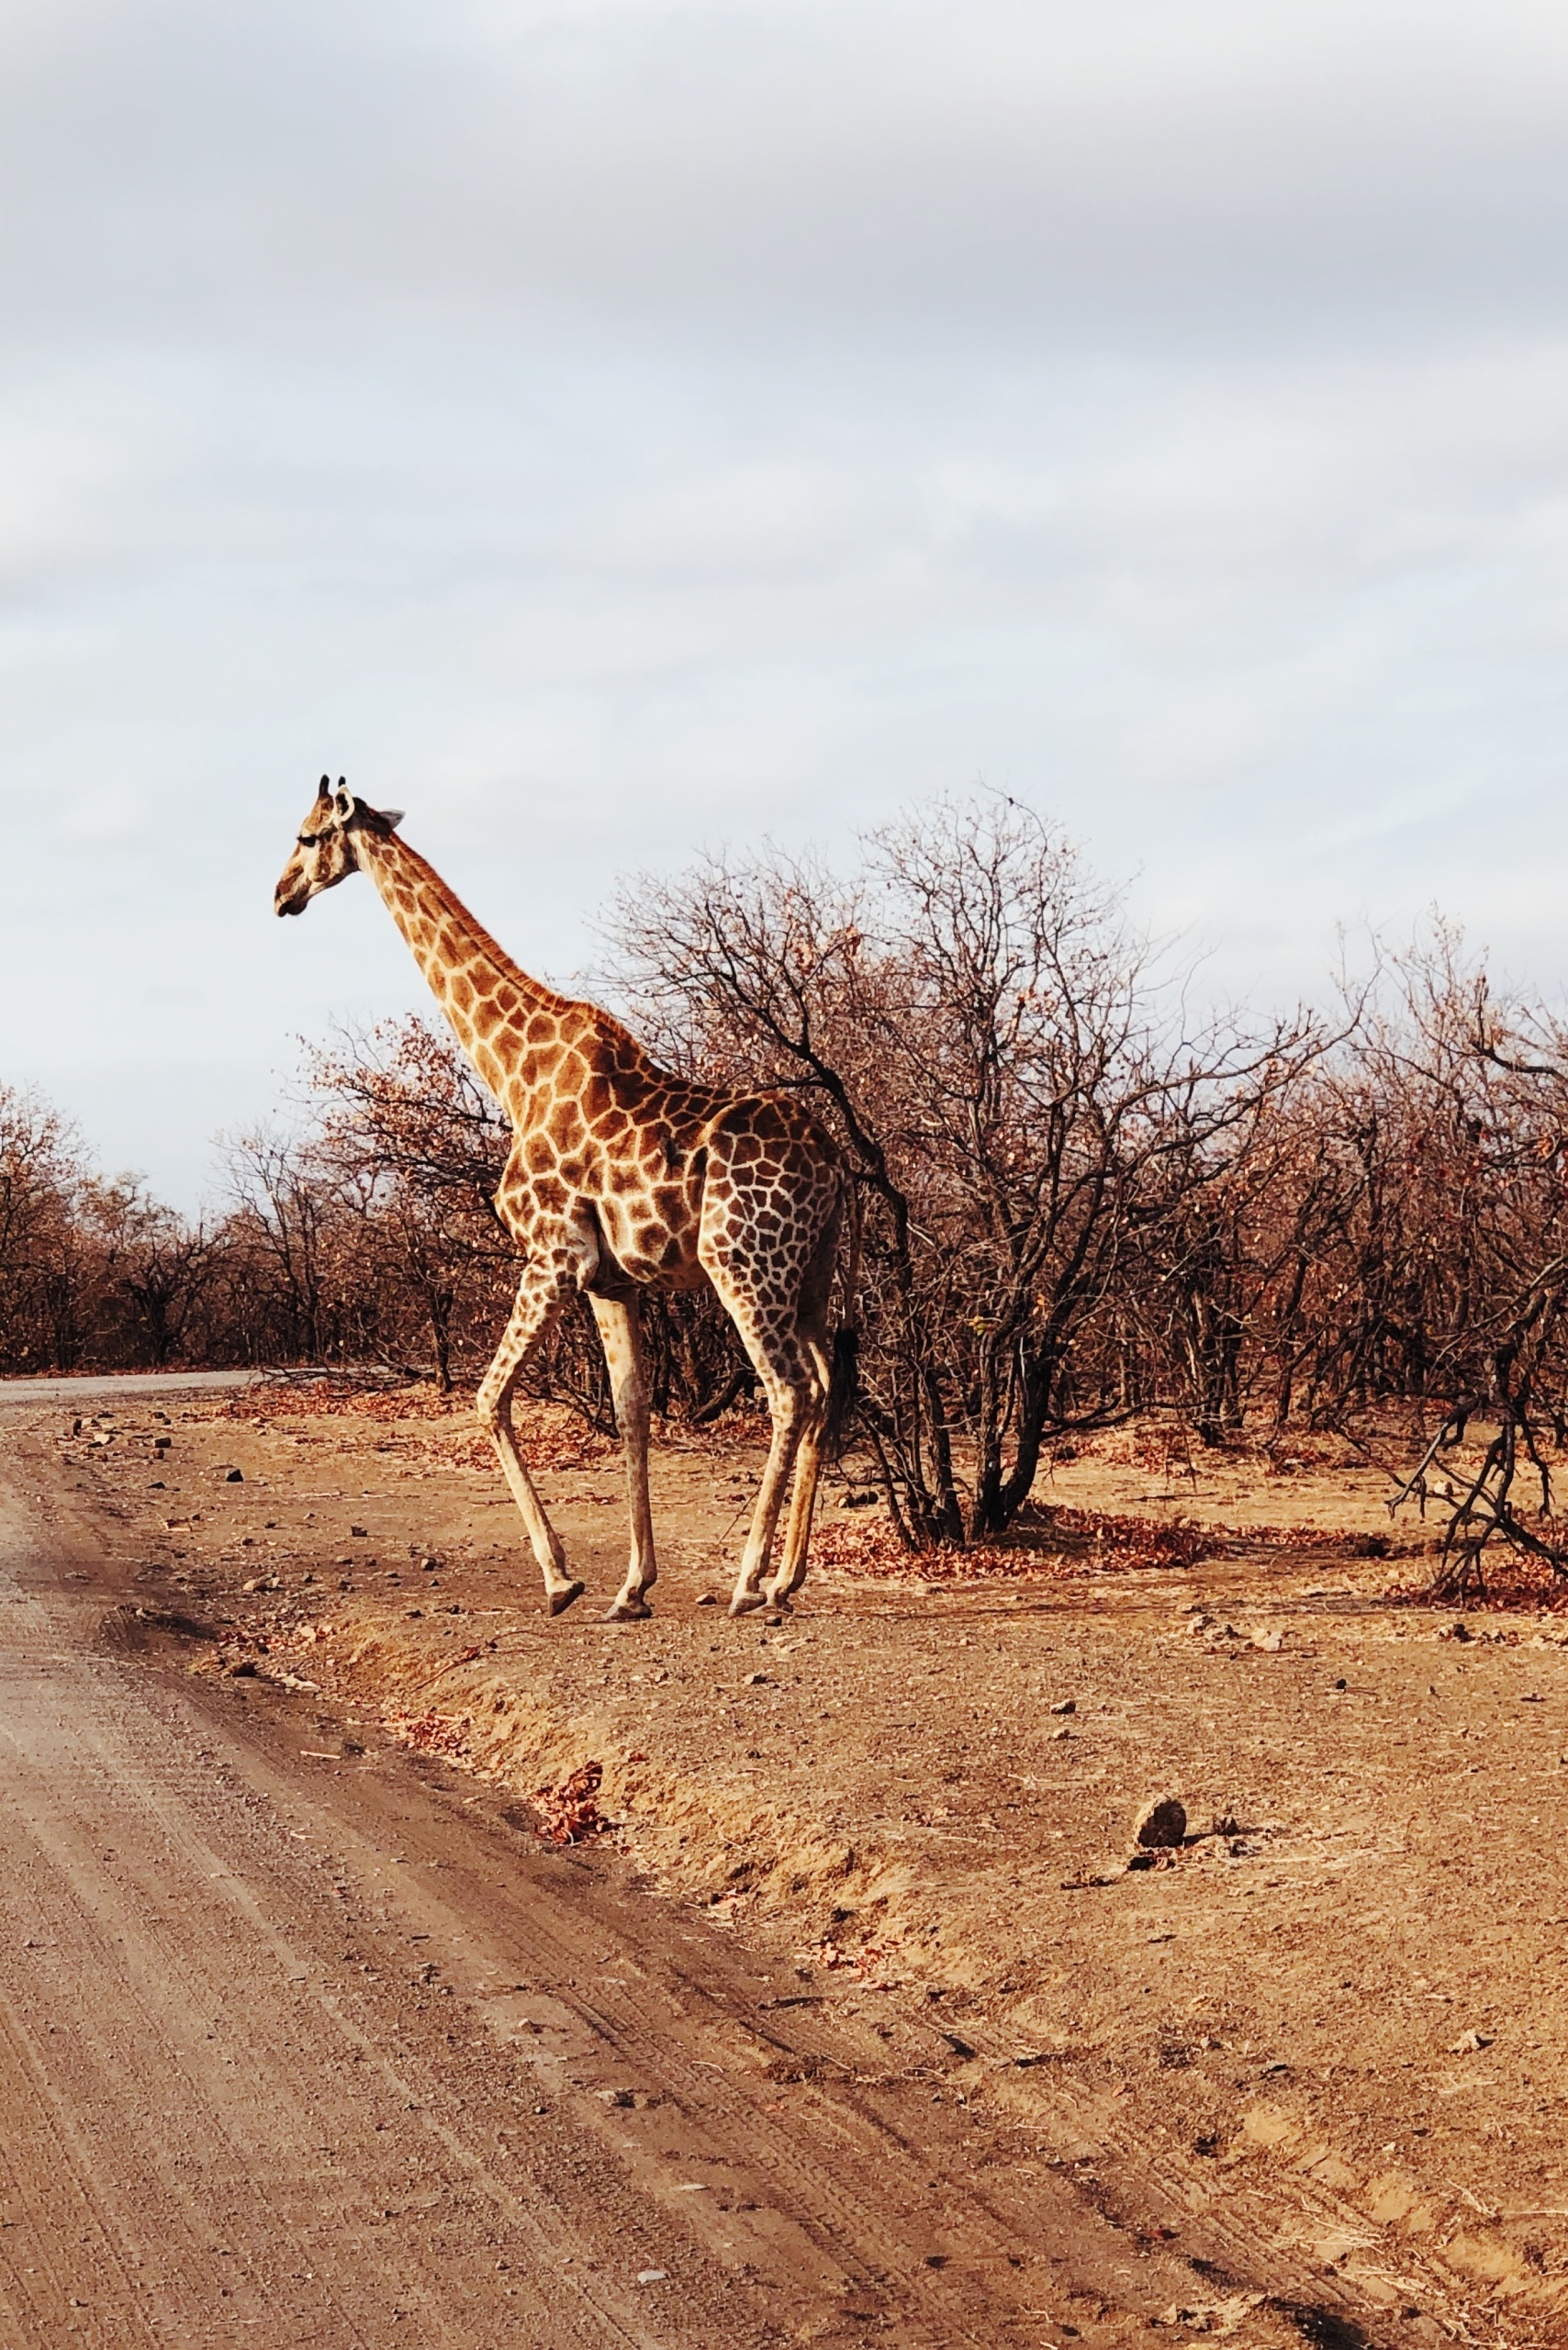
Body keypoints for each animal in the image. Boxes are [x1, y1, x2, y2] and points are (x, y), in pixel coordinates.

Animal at [274, 779, 850, 1623]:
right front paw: (631, 1587)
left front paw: (561, 1578)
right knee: (828, 1384)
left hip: (742, 1262)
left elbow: (488, 1399)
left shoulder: (551, 1255)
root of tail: (835, 1159)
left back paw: (748, 1579)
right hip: (808, 1273)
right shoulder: (612, 1280)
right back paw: (786, 1578)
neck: (512, 1072)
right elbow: (631, 1409)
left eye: (309, 836)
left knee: (788, 1391)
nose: (281, 895)